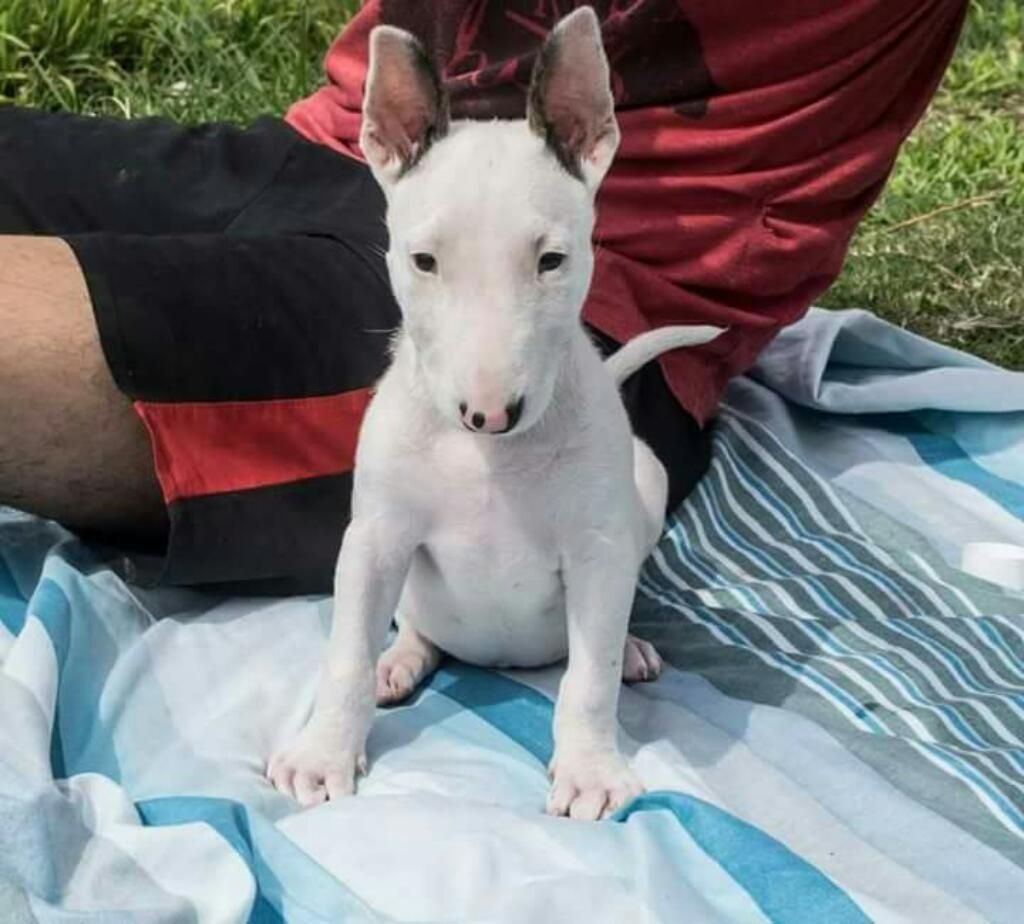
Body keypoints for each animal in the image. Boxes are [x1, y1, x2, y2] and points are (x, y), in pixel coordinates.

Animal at [268, 5, 724, 819]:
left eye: (552, 260)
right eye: (424, 261)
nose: (489, 414)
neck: (488, 461)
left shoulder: (597, 551)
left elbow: (589, 679)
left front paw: (590, 770)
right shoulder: (374, 537)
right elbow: (344, 653)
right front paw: (324, 755)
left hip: (647, 484)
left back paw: (632, 650)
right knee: (414, 631)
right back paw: (398, 662)